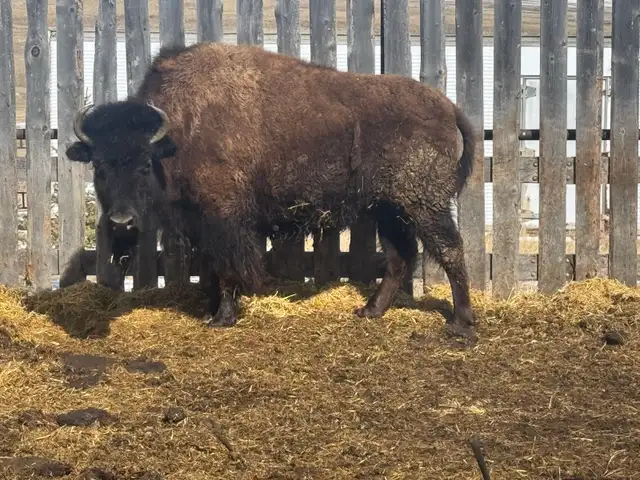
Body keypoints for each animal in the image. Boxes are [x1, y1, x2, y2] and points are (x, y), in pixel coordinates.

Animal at [64, 41, 478, 339]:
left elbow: (228, 268)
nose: (121, 222)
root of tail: (447, 107)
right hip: (388, 208)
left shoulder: (225, 221)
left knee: (450, 250)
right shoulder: (201, 225)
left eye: (143, 164)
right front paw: (210, 309)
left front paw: (222, 318)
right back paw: (369, 311)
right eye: (98, 166)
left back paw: (461, 324)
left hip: (423, 204)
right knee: (400, 256)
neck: (177, 135)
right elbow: (210, 267)